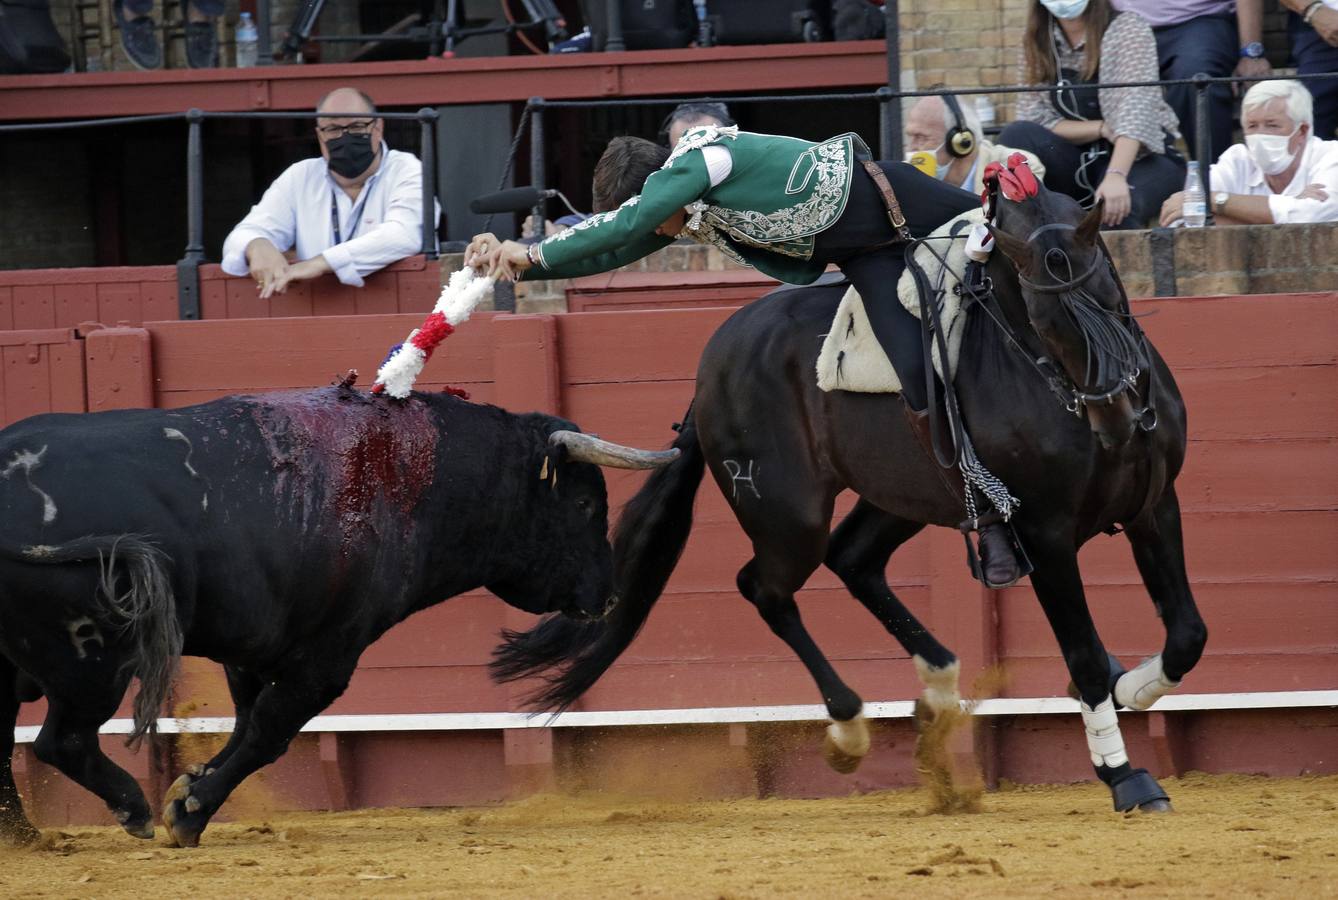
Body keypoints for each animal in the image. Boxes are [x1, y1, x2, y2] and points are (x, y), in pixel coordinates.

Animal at [0, 382, 674, 845]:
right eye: (584, 504)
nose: (609, 595)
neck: (413, 475)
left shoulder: (257, 645)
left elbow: (248, 724)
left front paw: (190, 792)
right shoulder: (330, 654)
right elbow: (269, 731)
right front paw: (187, 812)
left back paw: (25, 838)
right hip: (93, 660)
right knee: (63, 740)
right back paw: (131, 809)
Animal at [497, 185, 1209, 813]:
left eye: (1107, 290)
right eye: (1042, 320)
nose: (1115, 420)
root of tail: (711, 367)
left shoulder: (1155, 505)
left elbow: (1187, 635)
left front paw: (1129, 685)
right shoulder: (1046, 534)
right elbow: (1082, 654)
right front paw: (1125, 776)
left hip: (899, 494)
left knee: (854, 560)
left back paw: (937, 697)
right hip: (789, 516)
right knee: (767, 586)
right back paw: (849, 728)